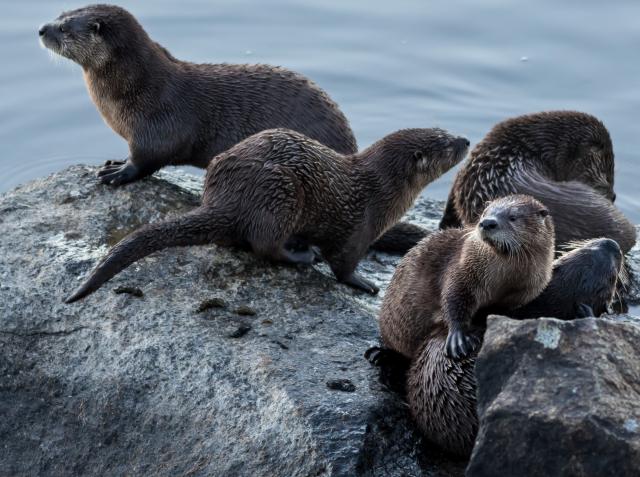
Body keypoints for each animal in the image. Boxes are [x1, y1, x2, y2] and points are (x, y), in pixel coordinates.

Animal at [39, 4, 357, 185]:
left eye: (63, 28)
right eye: (59, 14)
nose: (41, 28)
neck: (134, 88)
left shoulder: (160, 124)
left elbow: (149, 158)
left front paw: (118, 172)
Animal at [65, 127, 469, 303]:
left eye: (447, 131)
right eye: (446, 144)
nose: (466, 140)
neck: (380, 190)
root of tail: (226, 198)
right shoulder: (360, 227)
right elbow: (343, 265)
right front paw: (365, 284)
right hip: (281, 194)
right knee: (264, 245)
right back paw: (301, 256)